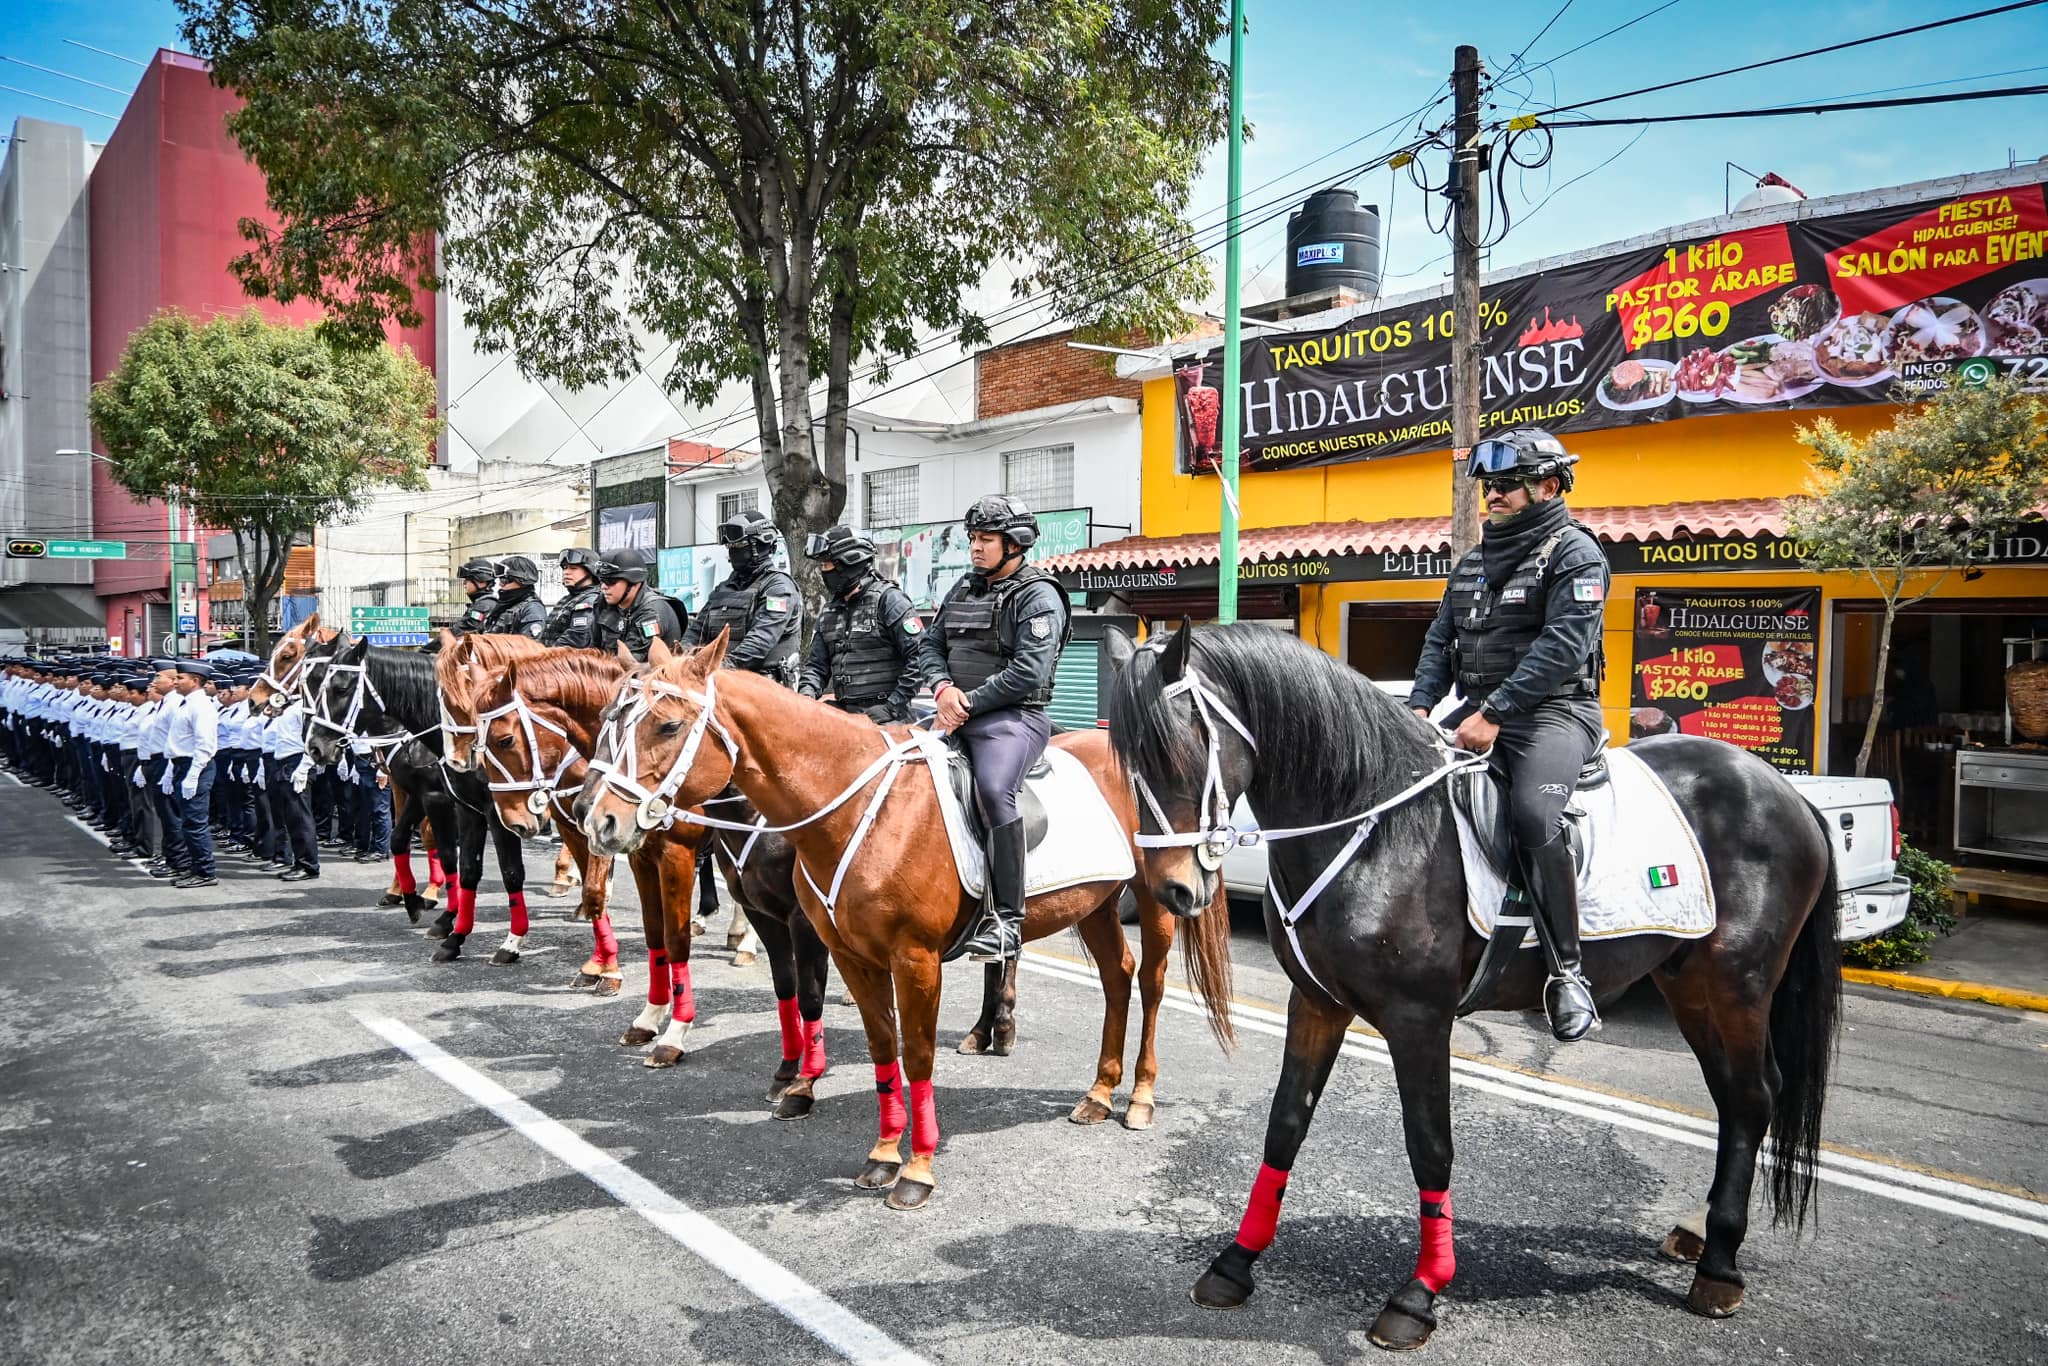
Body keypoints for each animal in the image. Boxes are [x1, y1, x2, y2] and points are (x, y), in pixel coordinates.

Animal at [307, 643, 528, 962]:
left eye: (340, 688)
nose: (314, 747)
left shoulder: (471, 807)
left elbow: (502, 870)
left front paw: (509, 942)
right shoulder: (443, 800)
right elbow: (428, 851)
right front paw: (432, 915)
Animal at [569, 634, 1220, 1212]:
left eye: (666, 726)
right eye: (609, 719)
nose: (595, 818)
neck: (855, 807)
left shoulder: (914, 959)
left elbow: (916, 1056)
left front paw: (917, 1170)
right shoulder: (851, 954)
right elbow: (879, 1045)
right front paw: (882, 1153)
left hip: (1157, 896)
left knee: (1150, 982)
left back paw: (1138, 1097)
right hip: (1096, 904)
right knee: (1116, 975)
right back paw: (1098, 1092)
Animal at [1114, 626, 1851, 1351]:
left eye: (1180, 747)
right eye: (1130, 762)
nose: (1170, 890)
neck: (1376, 826)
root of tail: (1785, 789)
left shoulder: (1419, 1019)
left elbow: (1430, 1146)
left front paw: (1419, 1294)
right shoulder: (1317, 1004)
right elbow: (1284, 1126)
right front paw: (1235, 1263)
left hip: (1738, 983)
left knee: (1753, 1097)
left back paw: (1720, 1267)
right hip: (1690, 983)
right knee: (1736, 1099)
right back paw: (1701, 1234)